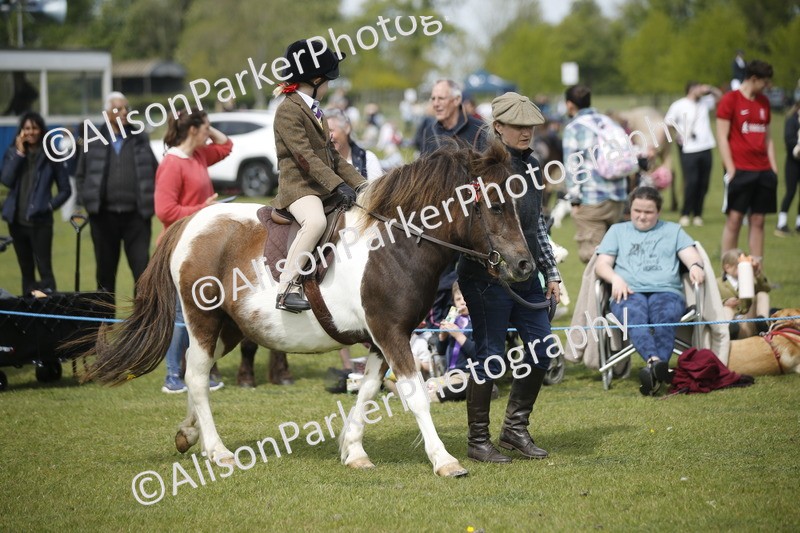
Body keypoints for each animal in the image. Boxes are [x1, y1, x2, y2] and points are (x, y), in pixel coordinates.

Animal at [84, 142, 534, 477]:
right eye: (495, 206)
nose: (523, 265)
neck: (395, 242)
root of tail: (191, 223)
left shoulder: (380, 338)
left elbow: (367, 390)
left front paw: (353, 449)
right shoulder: (391, 332)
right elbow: (415, 395)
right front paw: (444, 460)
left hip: (230, 329)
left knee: (198, 373)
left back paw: (188, 434)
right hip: (203, 320)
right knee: (196, 377)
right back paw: (218, 450)